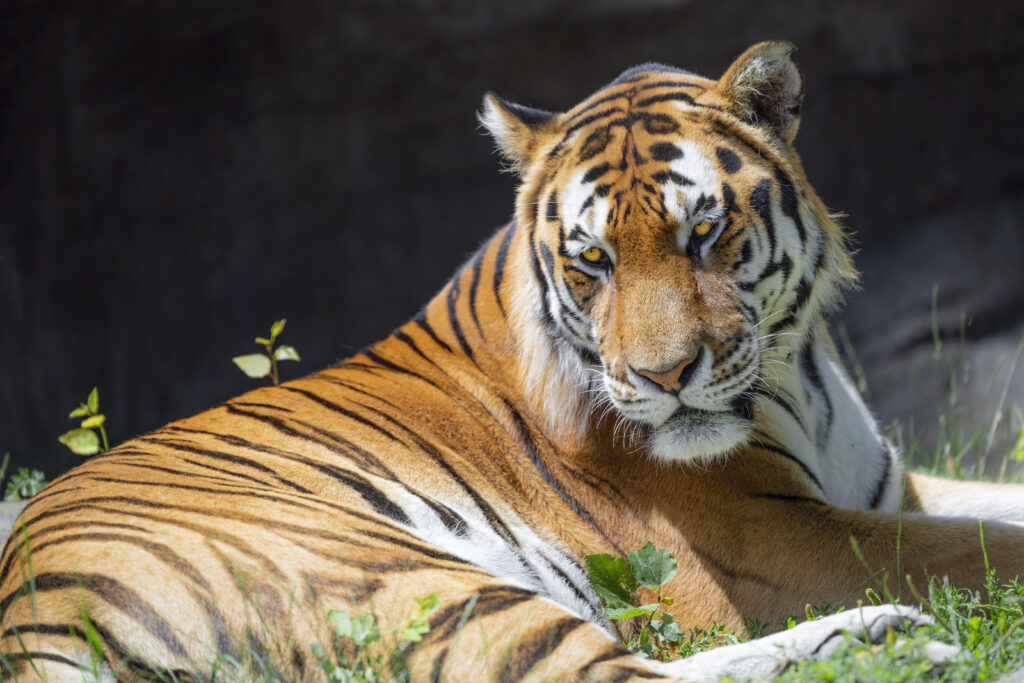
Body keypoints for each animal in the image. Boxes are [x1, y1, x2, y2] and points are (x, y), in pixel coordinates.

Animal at [3, 41, 1024, 682]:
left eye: (702, 233)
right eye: (593, 260)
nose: (664, 380)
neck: (796, 372)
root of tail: (26, 609)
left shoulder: (885, 487)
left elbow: (995, 508)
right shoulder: (772, 540)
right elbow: (986, 547)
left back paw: (888, 640)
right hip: (404, 577)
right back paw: (908, 651)